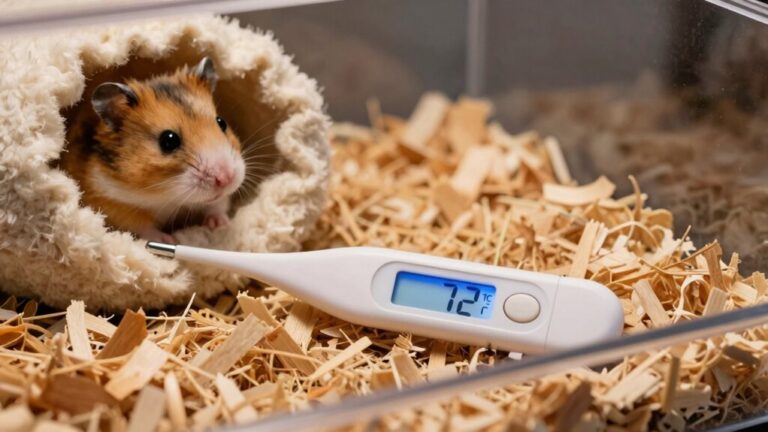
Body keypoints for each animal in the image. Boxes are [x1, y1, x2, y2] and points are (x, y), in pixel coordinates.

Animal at [61, 57, 245, 243]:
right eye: (168, 140)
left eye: (222, 122)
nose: (227, 179)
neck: (166, 196)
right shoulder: (113, 203)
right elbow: (144, 228)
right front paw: (168, 240)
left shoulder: (216, 200)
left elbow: (217, 205)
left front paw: (221, 225)